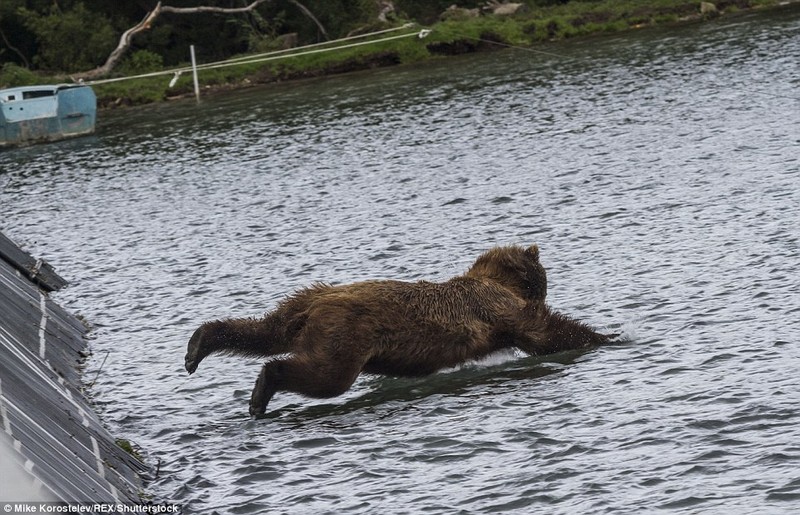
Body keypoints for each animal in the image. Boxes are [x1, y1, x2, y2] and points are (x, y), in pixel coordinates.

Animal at [186, 244, 612, 418]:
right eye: (544, 277)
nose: (547, 287)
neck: (496, 280)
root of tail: (318, 305)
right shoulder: (493, 307)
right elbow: (544, 332)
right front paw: (609, 337)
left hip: (300, 304)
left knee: (262, 330)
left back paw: (197, 346)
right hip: (347, 335)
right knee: (323, 376)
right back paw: (261, 392)